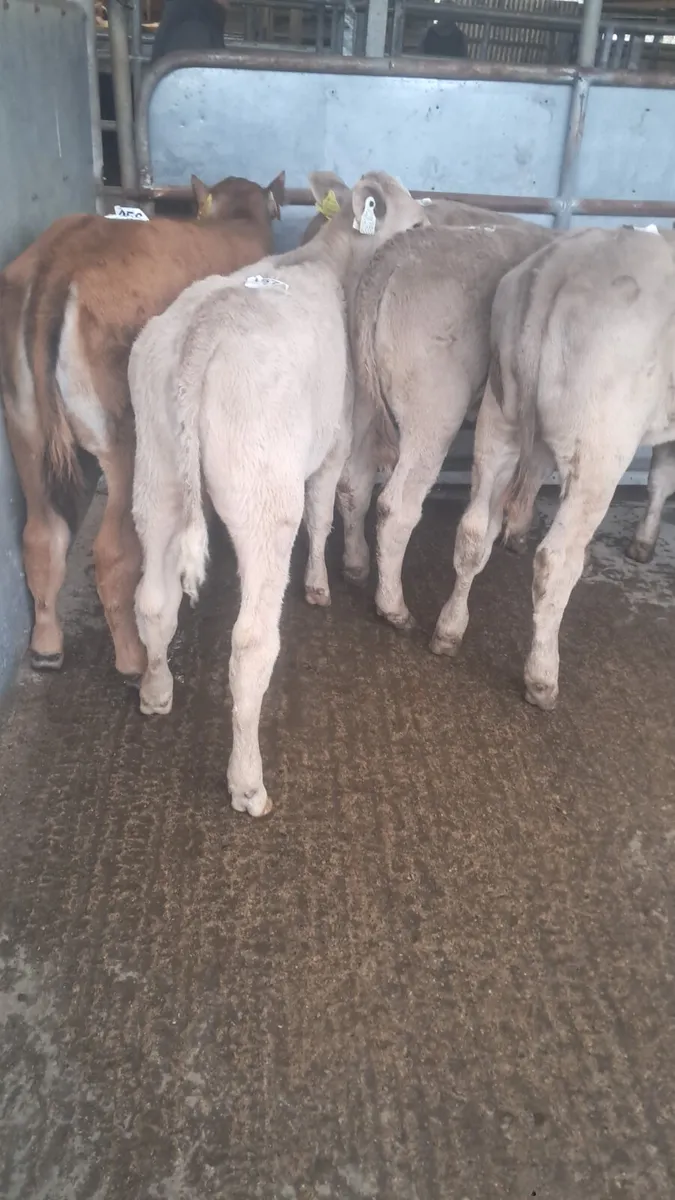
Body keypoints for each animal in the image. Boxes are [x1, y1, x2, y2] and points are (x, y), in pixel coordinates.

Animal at [0, 170, 285, 682]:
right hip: (125, 437)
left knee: (40, 535)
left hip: (22, 424)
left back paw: (47, 647)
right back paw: (133, 658)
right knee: (115, 551)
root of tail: (62, 255)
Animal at [128, 171, 428, 818]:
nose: (428, 227)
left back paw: (156, 691)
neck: (328, 262)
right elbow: (323, 513)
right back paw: (247, 782)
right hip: (264, 498)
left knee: (154, 600)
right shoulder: (334, 441)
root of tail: (209, 324)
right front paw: (319, 584)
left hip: (155, 472)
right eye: (414, 223)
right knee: (251, 642)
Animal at [333, 219, 554, 630]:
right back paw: (394, 607)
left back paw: (355, 565)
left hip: (361, 399)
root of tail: (399, 250)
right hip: (433, 412)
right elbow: (536, 468)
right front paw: (518, 529)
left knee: (352, 481)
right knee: (396, 506)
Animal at [431, 226, 675, 710]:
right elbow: (661, 479)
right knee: (556, 560)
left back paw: (449, 629)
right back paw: (542, 678)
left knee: (473, 531)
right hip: (600, 446)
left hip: (499, 416)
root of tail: (561, 262)